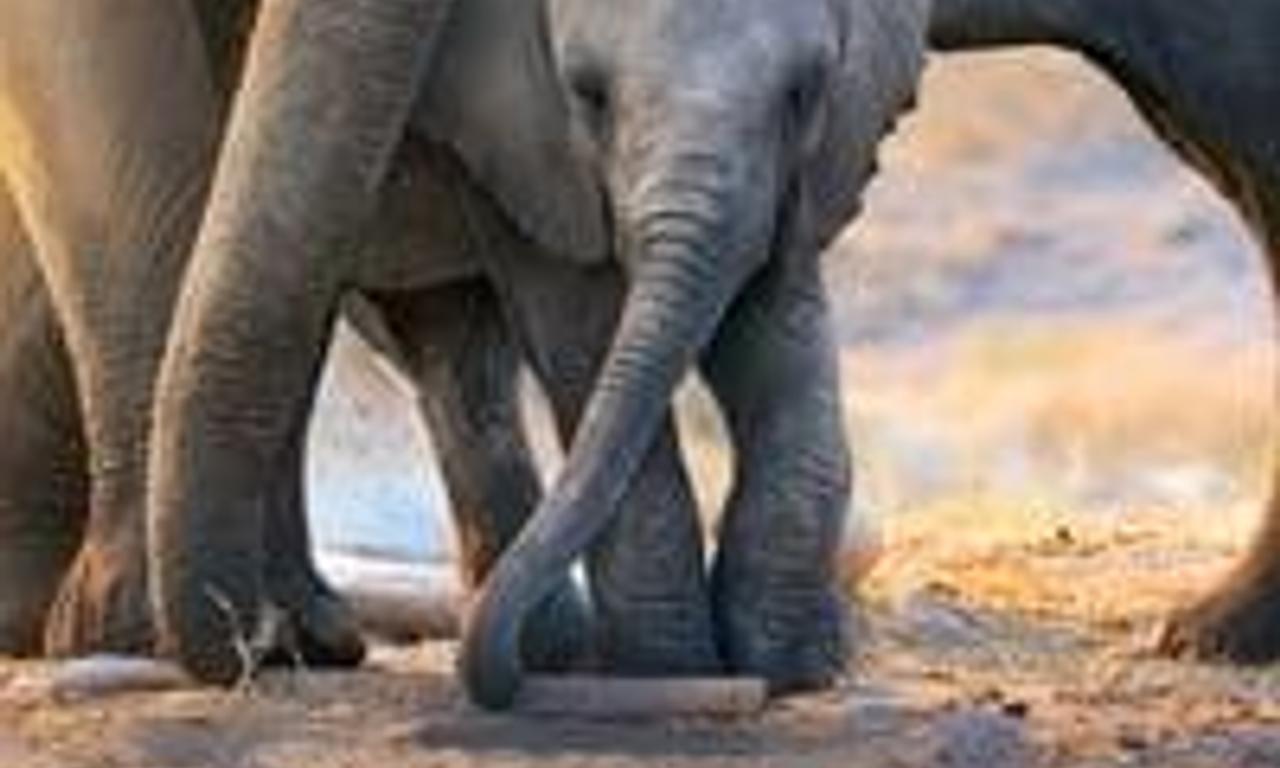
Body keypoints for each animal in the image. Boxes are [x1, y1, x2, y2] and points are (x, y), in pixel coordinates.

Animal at [146, 0, 930, 709]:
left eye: (804, 94)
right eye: (588, 96)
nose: (739, 693)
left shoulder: (808, 169)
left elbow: (776, 327)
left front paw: (791, 668)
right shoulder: (537, 155)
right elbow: (581, 319)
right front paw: (669, 669)